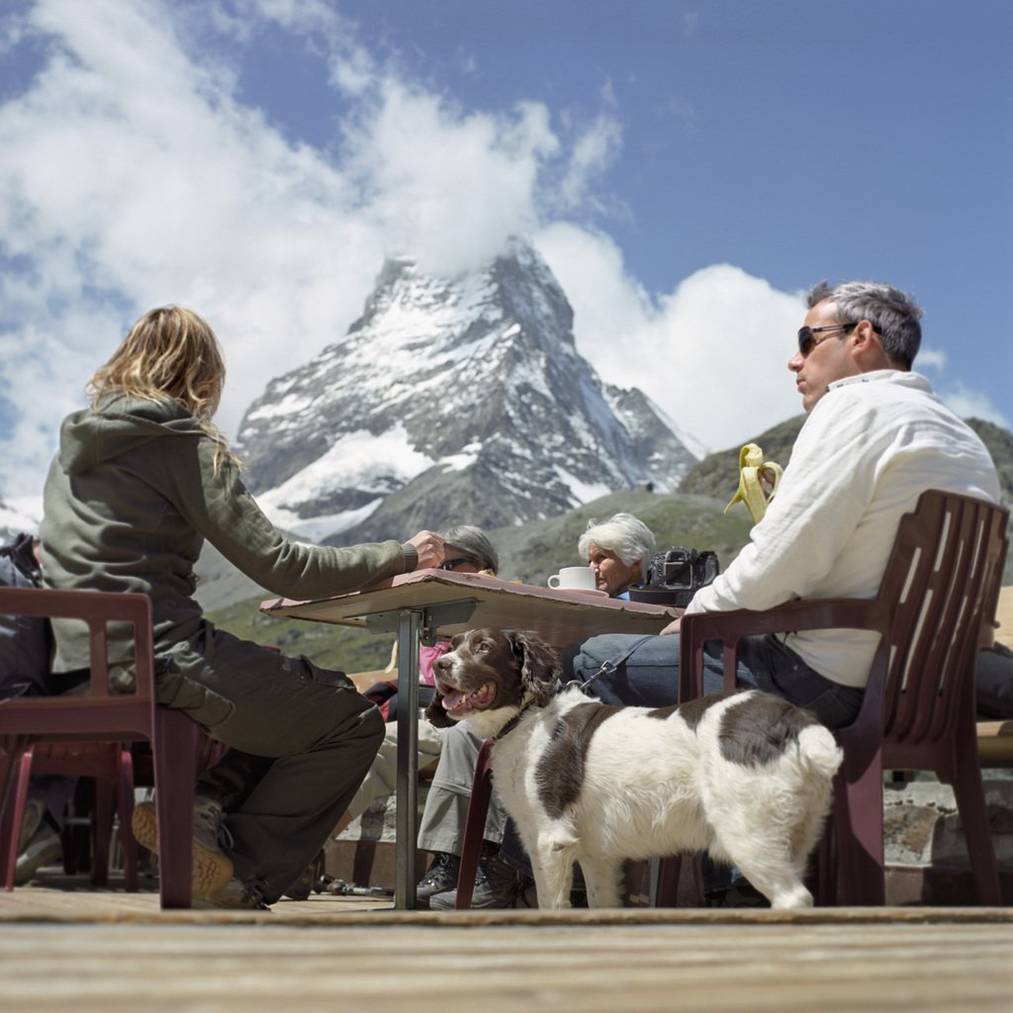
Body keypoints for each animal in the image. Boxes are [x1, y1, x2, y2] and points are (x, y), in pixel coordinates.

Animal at [423, 624, 842, 911]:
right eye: (453, 646)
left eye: (483, 647)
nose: (440, 665)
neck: (527, 717)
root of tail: (792, 719)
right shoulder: (596, 855)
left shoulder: (550, 840)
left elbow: (551, 903)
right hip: (794, 834)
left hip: (749, 832)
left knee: (793, 899)